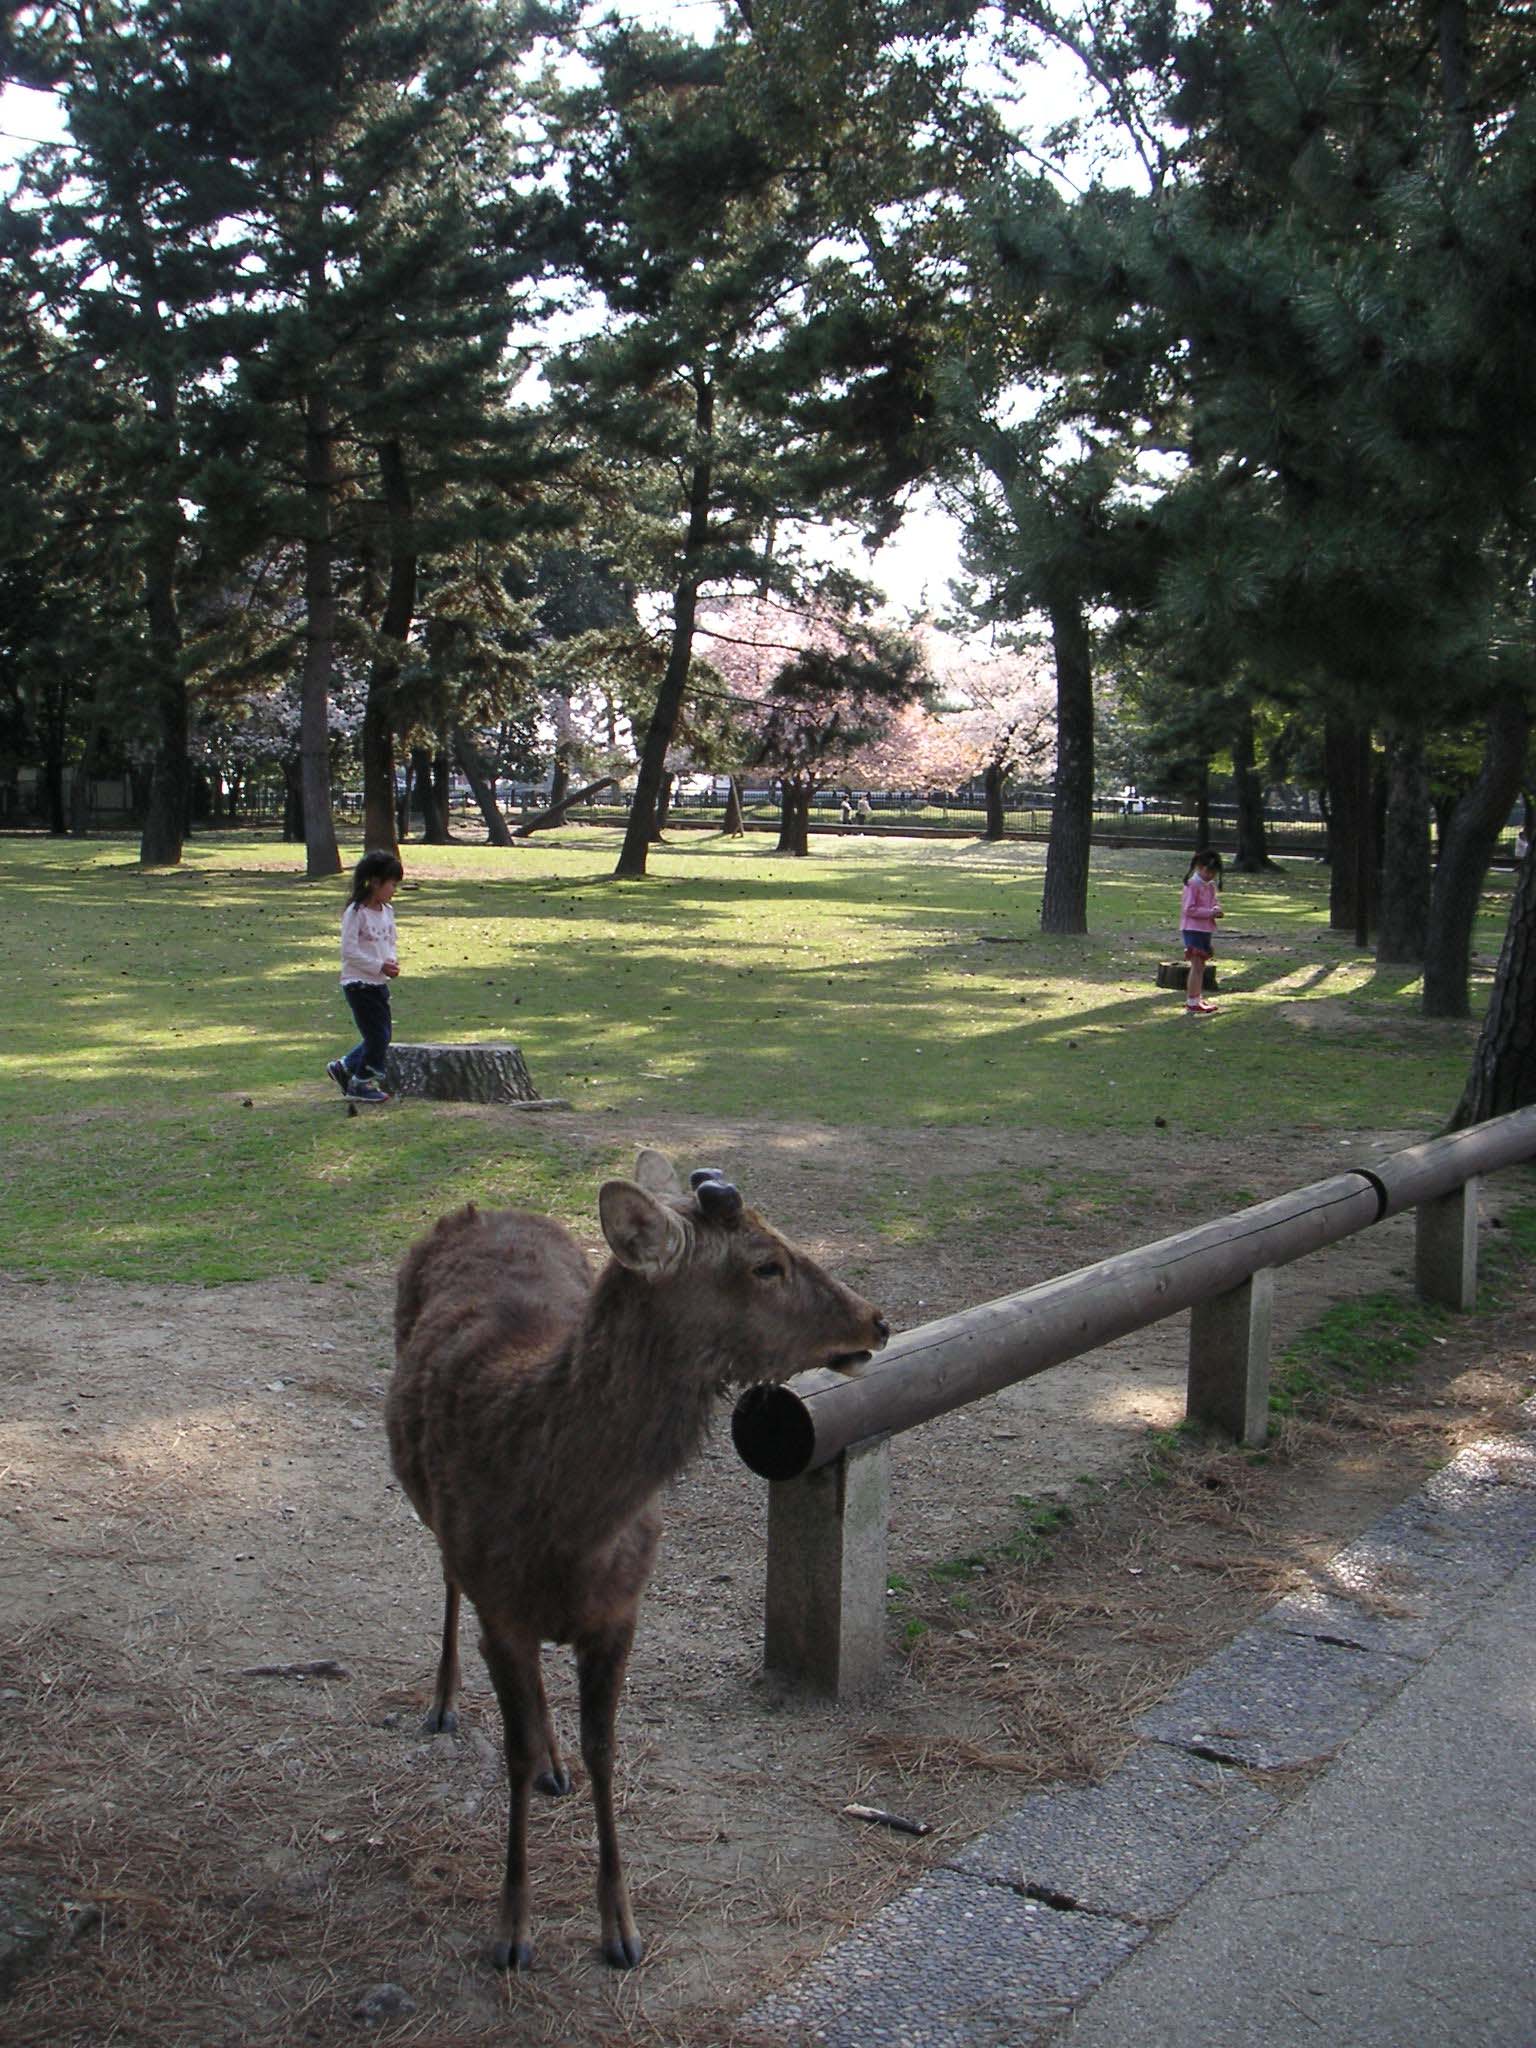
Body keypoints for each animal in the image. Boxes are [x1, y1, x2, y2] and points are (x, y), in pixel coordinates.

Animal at [386, 1149, 889, 1973]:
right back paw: (444, 1702)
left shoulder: (621, 1611)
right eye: (765, 1264)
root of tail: (478, 1208)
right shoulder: (503, 1607)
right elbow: (512, 1752)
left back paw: (552, 1759)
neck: (568, 1525)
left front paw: (620, 1928)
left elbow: (604, 1750)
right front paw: (512, 1932)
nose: (875, 1319)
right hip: (440, 1523)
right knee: (449, 1584)